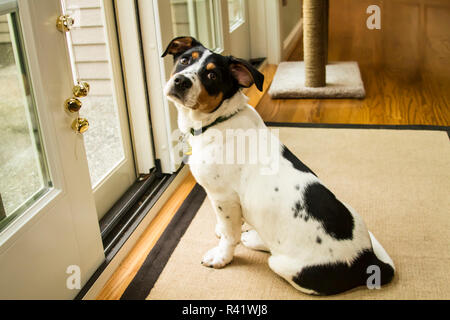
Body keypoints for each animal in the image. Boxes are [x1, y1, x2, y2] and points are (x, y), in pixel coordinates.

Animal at [162, 37, 394, 296]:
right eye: (184, 60)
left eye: (212, 76)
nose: (181, 81)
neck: (218, 121)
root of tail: (367, 260)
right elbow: (229, 226)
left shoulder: (223, 197)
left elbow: (230, 236)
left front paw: (222, 256)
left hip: (281, 264)